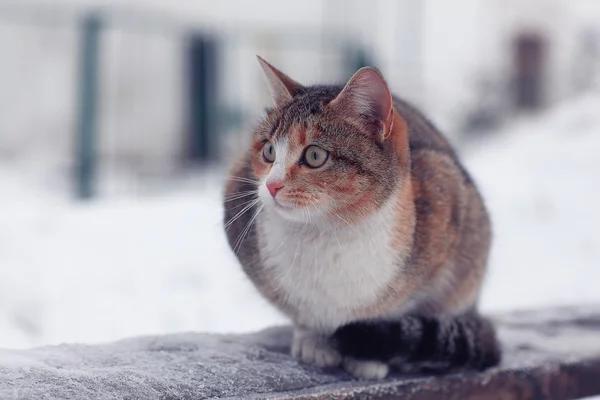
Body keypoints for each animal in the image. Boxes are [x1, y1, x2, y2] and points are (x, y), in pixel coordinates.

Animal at [223, 55, 500, 378]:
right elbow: (301, 313)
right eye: (268, 151)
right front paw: (312, 341)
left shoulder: (447, 197)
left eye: (315, 156)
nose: (271, 185)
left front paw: (368, 357)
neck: (327, 231)